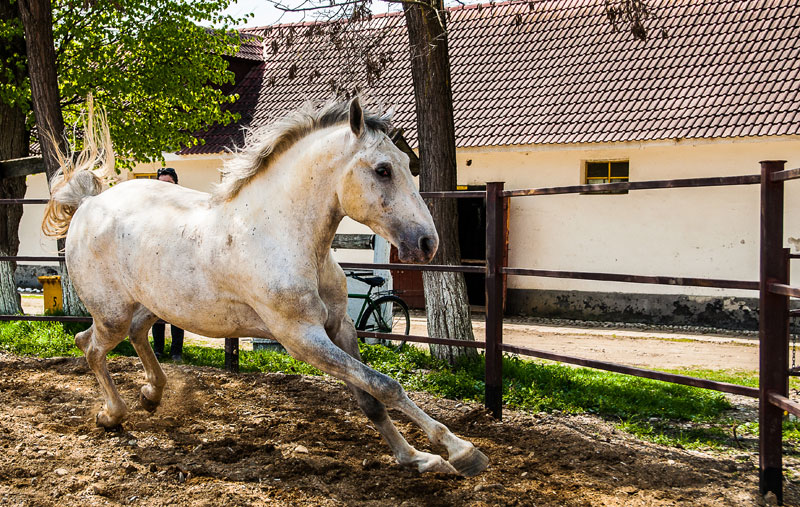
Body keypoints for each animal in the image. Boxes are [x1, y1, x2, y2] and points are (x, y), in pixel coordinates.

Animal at [42, 98, 488, 476]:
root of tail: (88, 204)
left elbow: (369, 398)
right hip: (113, 312)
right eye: (382, 169)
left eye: (407, 165)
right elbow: (385, 385)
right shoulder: (301, 338)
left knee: (129, 335)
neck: (284, 235)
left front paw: (416, 458)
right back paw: (112, 415)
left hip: (153, 304)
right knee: (90, 346)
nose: (427, 243)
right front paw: (461, 451)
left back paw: (151, 395)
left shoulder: (339, 327)